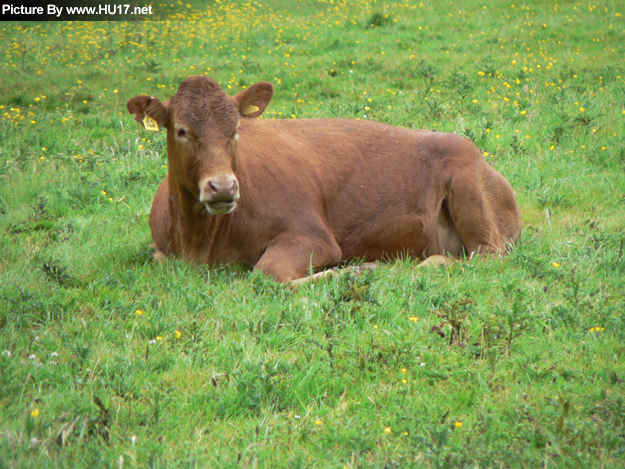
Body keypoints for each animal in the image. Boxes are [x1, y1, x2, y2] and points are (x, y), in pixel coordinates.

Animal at [125, 75, 516, 284]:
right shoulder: (161, 250)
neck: (198, 243)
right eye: (181, 130)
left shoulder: (312, 237)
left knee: (483, 256)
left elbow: (268, 275)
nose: (223, 186)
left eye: (235, 130)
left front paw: (359, 270)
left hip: (470, 193)